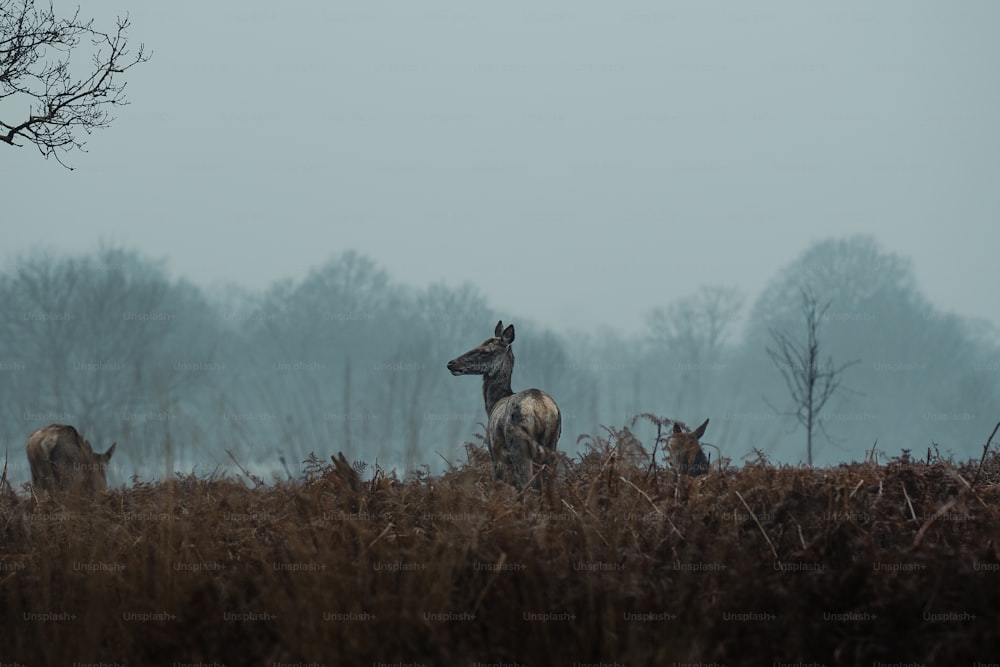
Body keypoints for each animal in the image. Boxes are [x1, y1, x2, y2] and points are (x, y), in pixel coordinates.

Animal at [448, 320, 560, 488]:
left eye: (486, 351)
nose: (451, 363)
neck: (493, 403)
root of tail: (542, 409)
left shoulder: (495, 455)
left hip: (518, 446)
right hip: (552, 446)